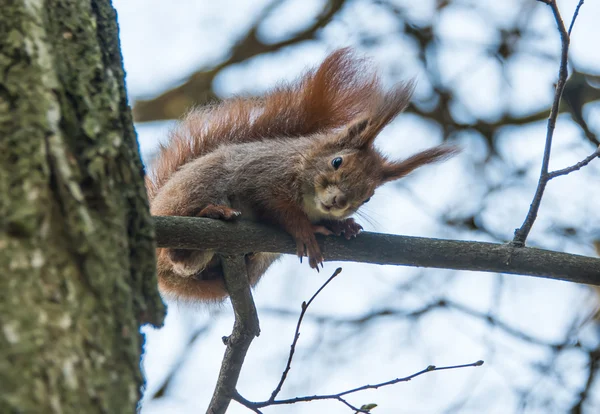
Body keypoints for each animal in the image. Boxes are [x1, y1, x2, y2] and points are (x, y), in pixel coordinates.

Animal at [148, 48, 458, 302]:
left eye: (368, 197)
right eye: (336, 161)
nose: (339, 202)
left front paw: (343, 226)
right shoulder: (262, 175)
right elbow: (278, 208)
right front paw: (306, 231)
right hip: (194, 190)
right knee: (176, 256)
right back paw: (212, 214)